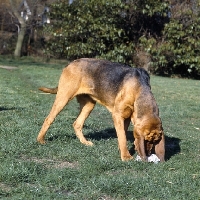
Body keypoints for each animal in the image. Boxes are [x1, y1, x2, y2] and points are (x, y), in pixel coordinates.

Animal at [36, 58, 165, 162]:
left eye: (155, 141)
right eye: (146, 140)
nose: (148, 154)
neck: (139, 89)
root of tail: (70, 64)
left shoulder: (127, 118)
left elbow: (122, 134)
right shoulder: (117, 115)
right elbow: (122, 137)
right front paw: (126, 156)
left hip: (89, 105)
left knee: (77, 124)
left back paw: (85, 142)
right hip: (63, 98)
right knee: (49, 118)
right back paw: (40, 140)